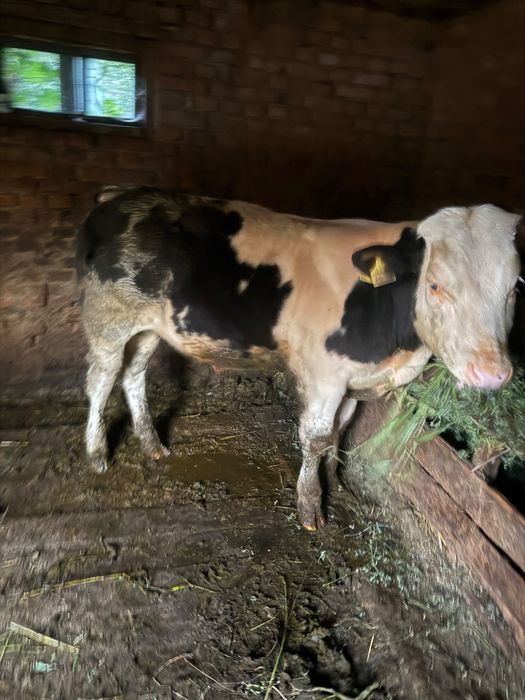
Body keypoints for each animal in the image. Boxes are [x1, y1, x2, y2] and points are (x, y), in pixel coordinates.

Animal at [76, 186, 520, 530]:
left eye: (515, 286)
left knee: (133, 375)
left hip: (148, 327)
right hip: (108, 321)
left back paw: (152, 444)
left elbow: (341, 430)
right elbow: (317, 438)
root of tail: (119, 195)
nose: (492, 373)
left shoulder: (353, 380)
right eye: (434, 285)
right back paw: (97, 455)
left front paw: (335, 484)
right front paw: (310, 507)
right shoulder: (323, 376)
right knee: (101, 380)